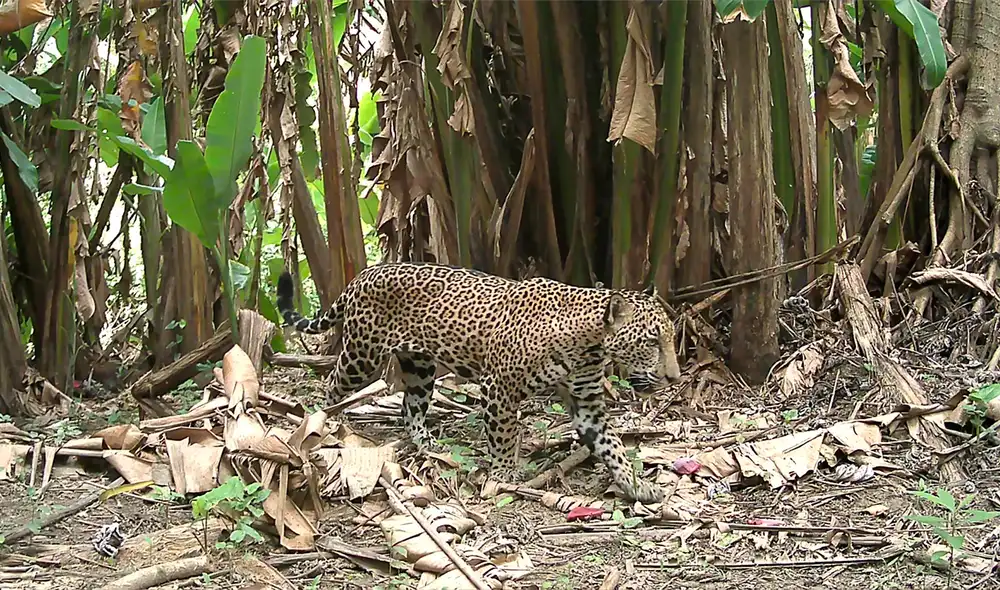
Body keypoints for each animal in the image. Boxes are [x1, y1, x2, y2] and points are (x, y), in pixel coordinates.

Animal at [276, 262, 682, 503]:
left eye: (670, 339)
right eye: (651, 341)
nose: (674, 377)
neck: (588, 343)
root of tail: (365, 273)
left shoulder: (588, 405)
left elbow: (612, 447)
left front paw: (635, 484)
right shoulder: (498, 389)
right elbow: (503, 437)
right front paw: (502, 476)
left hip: (420, 367)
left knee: (410, 407)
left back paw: (428, 444)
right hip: (362, 355)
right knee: (332, 385)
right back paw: (327, 424)